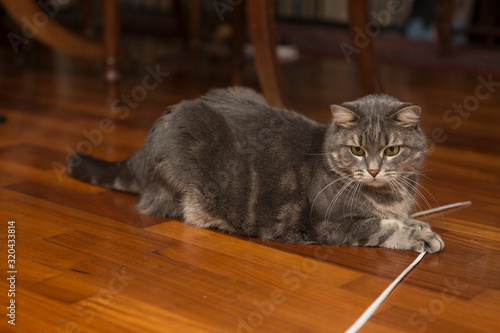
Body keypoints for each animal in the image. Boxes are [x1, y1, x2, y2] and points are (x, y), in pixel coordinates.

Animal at [67, 85, 446, 252]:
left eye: (391, 150)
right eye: (357, 150)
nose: (373, 170)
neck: (388, 195)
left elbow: (401, 219)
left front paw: (418, 224)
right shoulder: (331, 224)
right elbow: (382, 227)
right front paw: (419, 235)